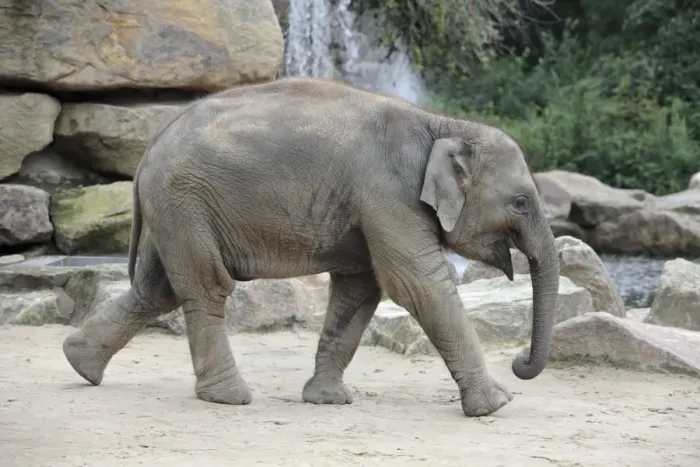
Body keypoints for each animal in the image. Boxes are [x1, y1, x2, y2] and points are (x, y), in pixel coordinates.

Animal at [62, 77, 560, 418]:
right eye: (521, 202)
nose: (520, 362)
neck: (442, 124)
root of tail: (153, 141)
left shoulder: (373, 205)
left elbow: (359, 290)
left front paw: (328, 400)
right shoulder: (388, 195)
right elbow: (418, 284)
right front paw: (496, 404)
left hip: (171, 208)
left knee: (154, 289)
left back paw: (80, 365)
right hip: (184, 199)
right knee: (206, 286)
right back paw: (229, 398)